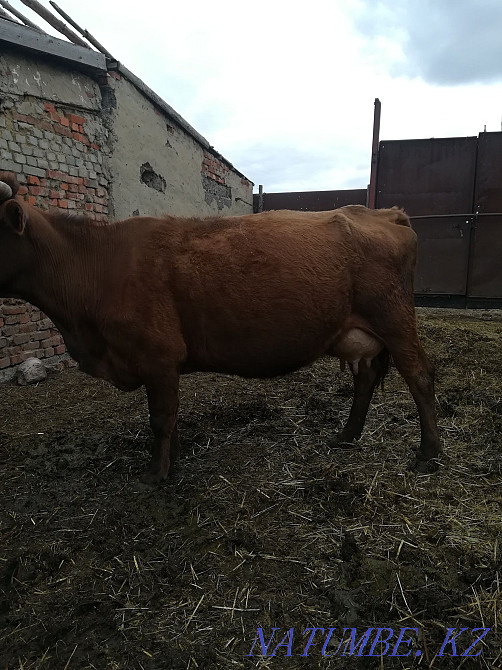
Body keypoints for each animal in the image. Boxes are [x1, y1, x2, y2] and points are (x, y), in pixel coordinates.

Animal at [0, 172, 441, 484]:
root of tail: (382, 212)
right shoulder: (162, 367)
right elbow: (169, 417)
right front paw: (172, 463)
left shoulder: (159, 356)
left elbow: (160, 418)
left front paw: (154, 475)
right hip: (360, 333)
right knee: (364, 378)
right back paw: (347, 435)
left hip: (395, 320)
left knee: (420, 375)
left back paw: (428, 455)